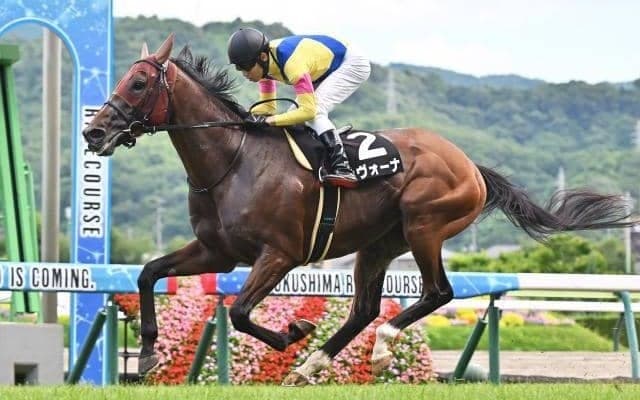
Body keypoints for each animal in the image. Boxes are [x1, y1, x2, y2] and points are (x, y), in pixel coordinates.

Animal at [83, 34, 635, 386]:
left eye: (137, 84)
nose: (93, 131)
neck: (234, 161)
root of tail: (471, 165)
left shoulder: (279, 254)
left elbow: (239, 312)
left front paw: (293, 333)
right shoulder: (217, 251)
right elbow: (149, 274)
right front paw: (148, 354)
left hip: (425, 226)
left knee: (436, 293)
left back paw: (381, 344)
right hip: (379, 243)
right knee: (365, 307)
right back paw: (313, 365)